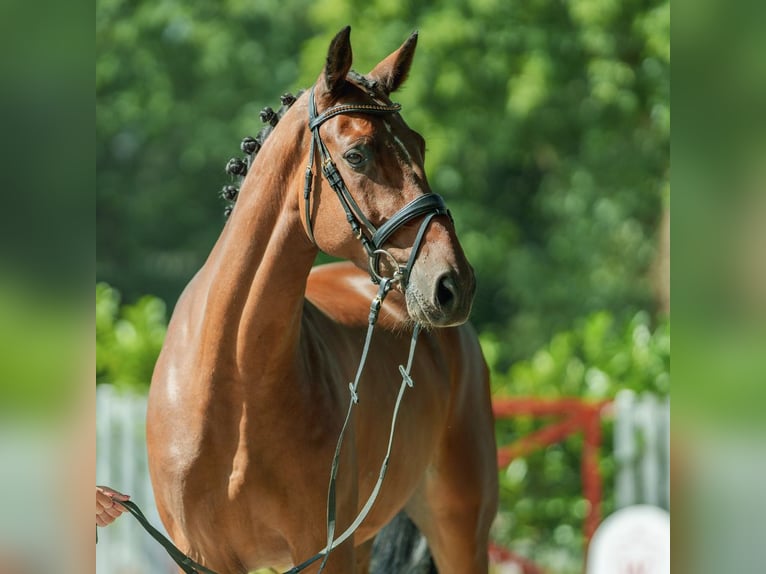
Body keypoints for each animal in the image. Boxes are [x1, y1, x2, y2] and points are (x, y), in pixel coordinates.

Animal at [147, 28, 500, 574]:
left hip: (458, 529)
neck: (231, 383)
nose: (453, 283)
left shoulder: (322, 551)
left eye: (419, 144)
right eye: (356, 155)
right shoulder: (201, 558)